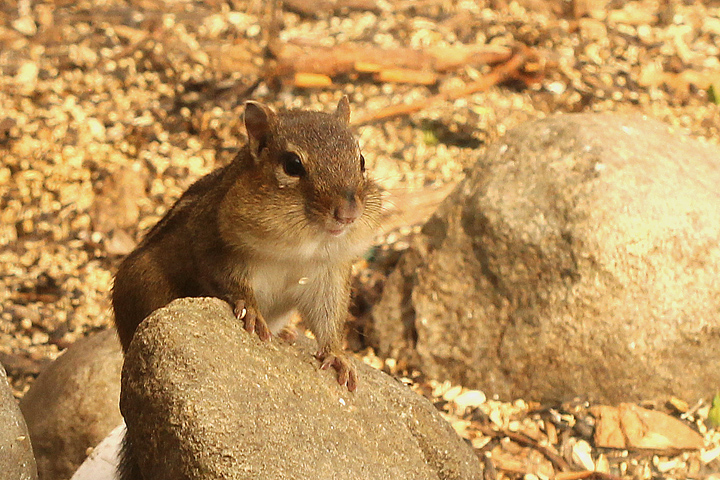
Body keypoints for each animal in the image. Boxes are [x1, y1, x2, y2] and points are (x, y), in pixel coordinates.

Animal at [111, 96, 381, 391]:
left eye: (361, 160)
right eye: (292, 165)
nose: (348, 213)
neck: (303, 246)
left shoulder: (329, 274)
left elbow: (329, 317)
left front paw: (337, 355)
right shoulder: (214, 244)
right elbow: (227, 279)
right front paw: (251, 310)